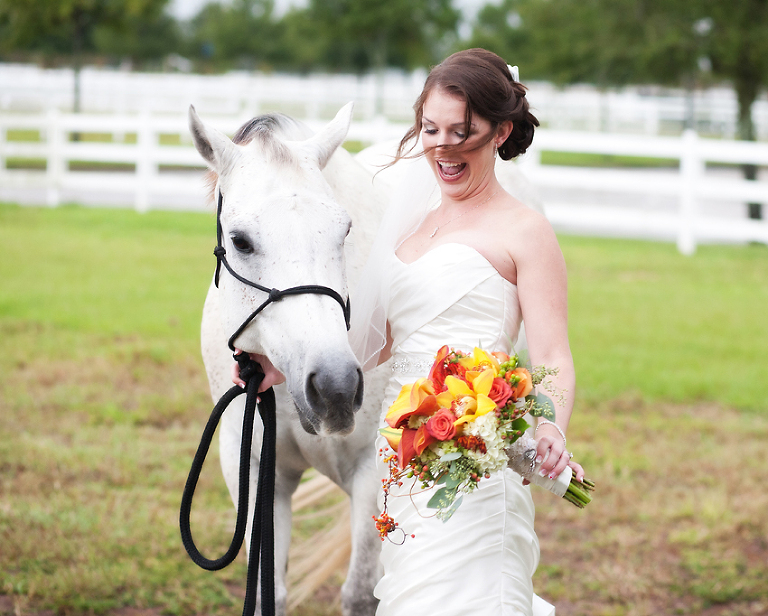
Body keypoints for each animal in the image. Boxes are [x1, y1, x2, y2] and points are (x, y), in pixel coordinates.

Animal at [189, 103, 390, 616]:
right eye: (240, 240)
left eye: (345, 231)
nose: (336, 388)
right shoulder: (256, 468)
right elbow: (268, 592)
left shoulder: (373, 471)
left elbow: (361, 592)